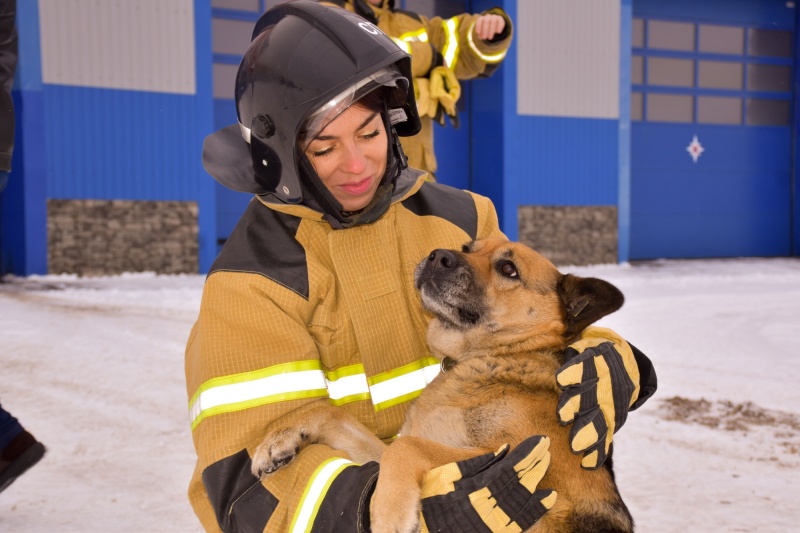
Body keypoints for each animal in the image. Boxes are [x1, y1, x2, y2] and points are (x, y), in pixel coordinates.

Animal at [253, 239, 636, 528]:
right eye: (468, 246)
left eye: (508, 269)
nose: (438, 256)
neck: (491, 357)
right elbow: (335, 417)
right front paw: (279, 439)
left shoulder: (524, 465)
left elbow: (407, 448)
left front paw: (388, 516)